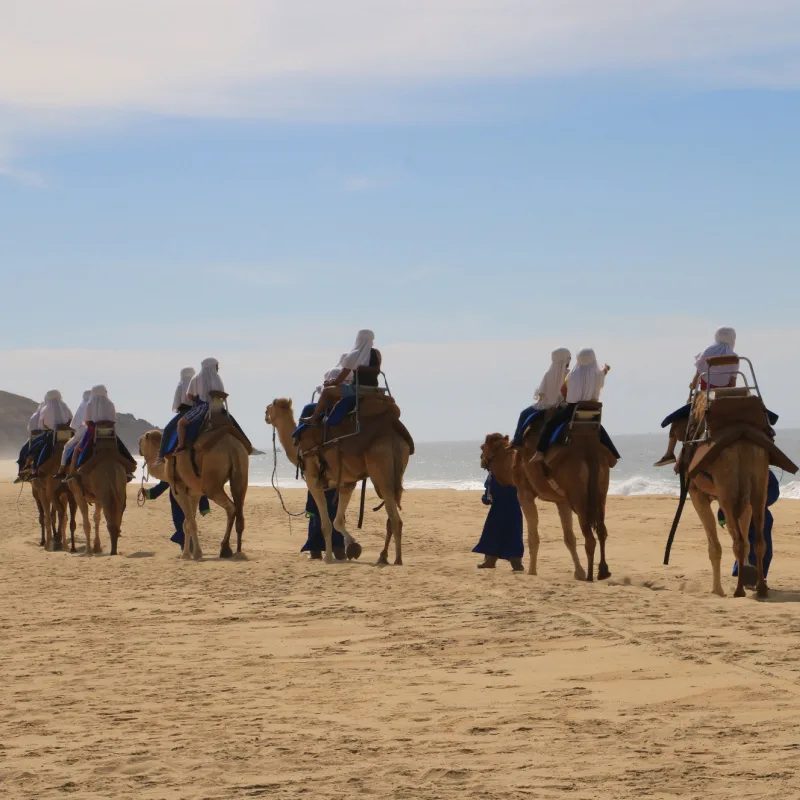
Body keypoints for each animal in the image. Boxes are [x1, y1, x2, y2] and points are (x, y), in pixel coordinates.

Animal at [138, 424, 247, 564]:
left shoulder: (178, 489)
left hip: (211, 482)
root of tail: (232, 447)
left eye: (141, 441)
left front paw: (192, 554)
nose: (138, 447)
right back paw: (238, 551)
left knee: (231, 507)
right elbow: (188, 522)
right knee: (239, 509)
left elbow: (189, 523)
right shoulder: (194, 492)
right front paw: (190, 553)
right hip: (241, 471)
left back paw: (225, 549)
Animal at [266, 396, 412, 564]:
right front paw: (352, 547)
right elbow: (338, 521)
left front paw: (329, 557)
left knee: (395, 518)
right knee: (391, 515)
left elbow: (326, 524)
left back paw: (397, 559)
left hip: (381, 468)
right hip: (397, 469)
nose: (265, 415)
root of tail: (393, 435)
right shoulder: (346, 484)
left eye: (270, 407)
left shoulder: (313, 480)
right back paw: (383, 556)